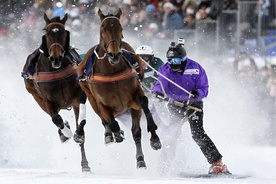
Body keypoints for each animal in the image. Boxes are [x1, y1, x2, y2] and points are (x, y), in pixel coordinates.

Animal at [22, 13, 90, 172]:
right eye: (47, 33)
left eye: (64, 32)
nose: (56, 57)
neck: (56, 70)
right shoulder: (46, 100)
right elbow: (56, 119)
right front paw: (66, 133)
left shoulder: (78, 95)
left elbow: (81, 121)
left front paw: (78, 134)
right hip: (35, 96)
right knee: (54, 117)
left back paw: (84, 163)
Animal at [77, 8, 162, 169]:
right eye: (102, 29)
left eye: (120, 28)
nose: (114, 54)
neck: (112, 74)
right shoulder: (101, 102)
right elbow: (110, 121)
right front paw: (115, 133)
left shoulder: (134, 97)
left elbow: (143, 104)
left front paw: (154, 140)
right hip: (89, 96)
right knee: (105, 120)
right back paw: (110, 135)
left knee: (135, 130)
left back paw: (140, 157)